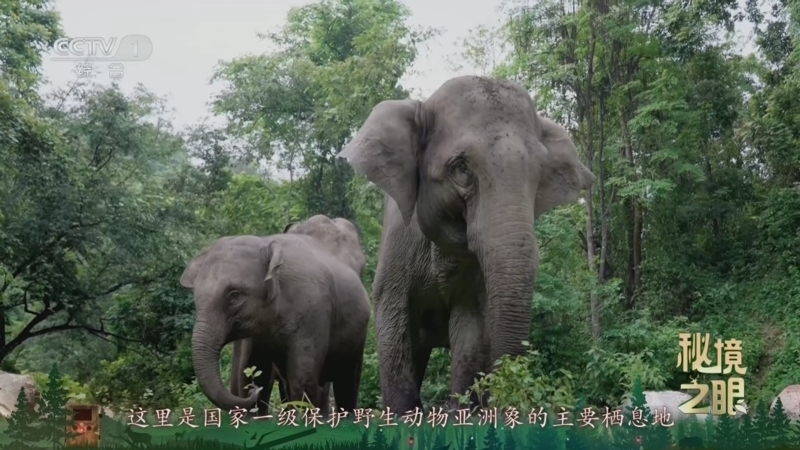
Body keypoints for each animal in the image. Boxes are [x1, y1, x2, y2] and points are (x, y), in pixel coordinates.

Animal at [180, 217, 371, 415]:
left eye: (234, 296)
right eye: (196, 296)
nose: (254, 391)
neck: (267, 243)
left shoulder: (314, 313)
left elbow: (303, 380)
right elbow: (253, 370)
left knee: (346, 383)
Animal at [337, 75, 595, 412]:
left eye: (539, 173)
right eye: (461, 167)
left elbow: (471, 325)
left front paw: (461, 411)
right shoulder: (398, 243)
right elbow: (392, 318)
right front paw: (408, 414)